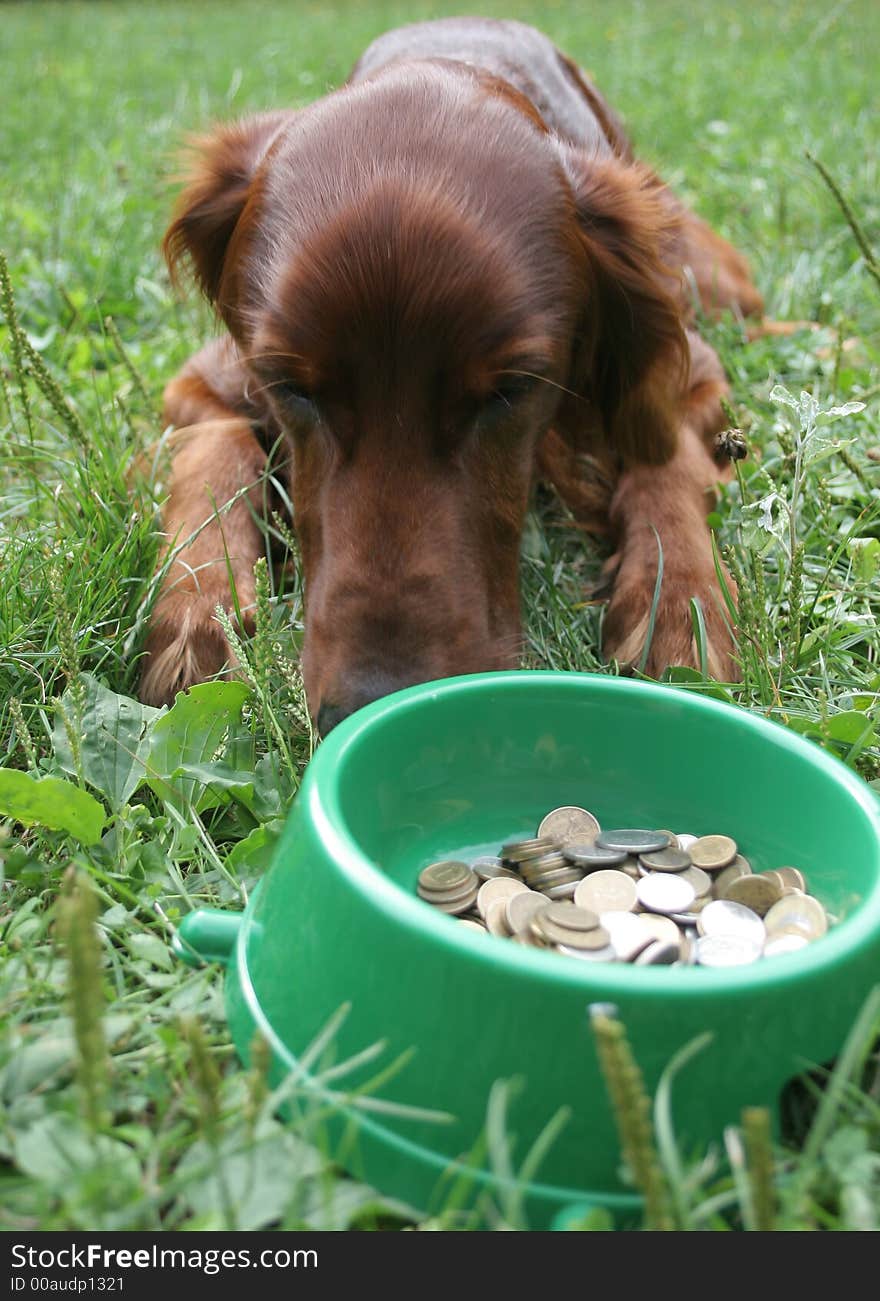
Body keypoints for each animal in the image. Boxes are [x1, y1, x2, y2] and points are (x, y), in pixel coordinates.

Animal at [139, 17, 765, 733]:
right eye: (290, 385)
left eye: (510, 389)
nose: (371, 702)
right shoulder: (207, 379)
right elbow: (211, 456)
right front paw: (195, 611)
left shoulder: (693, 374)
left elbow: (668, 464)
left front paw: (680, 604)